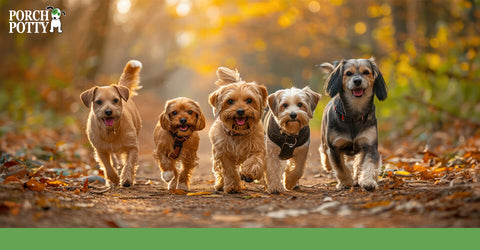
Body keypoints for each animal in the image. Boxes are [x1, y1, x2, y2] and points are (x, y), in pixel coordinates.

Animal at [79, 59, 142, 188]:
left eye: (115, 100)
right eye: (99, 102)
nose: (108, 111)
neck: (111, 131)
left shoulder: (132, 147)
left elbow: (129, 164)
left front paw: (126, 179)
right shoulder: (100, 149)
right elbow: (107, 166)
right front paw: (114, 179)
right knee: (113, 161)